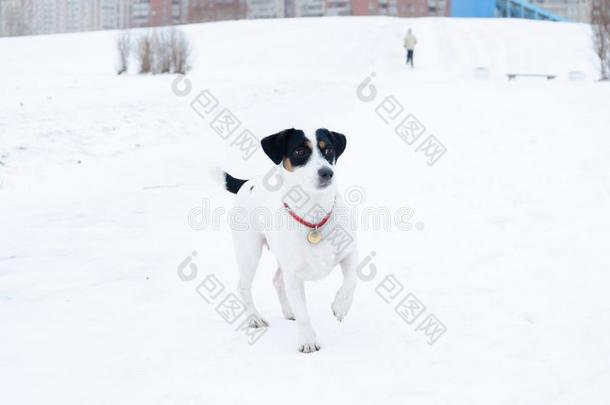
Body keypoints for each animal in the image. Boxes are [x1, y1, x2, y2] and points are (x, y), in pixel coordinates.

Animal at [222, 128, 356, 352]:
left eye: (328, 149)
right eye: (300, 151)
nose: (327, 172)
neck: (314, 216)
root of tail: (248, 182)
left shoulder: (349, 253)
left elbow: (352, 281)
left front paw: (340, 307)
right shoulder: (294, 276)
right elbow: (303, 312)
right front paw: (308, 340)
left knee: (277, 280)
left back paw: (289, 311)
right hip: (249, 252)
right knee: (244, 286)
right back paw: (255, 318)